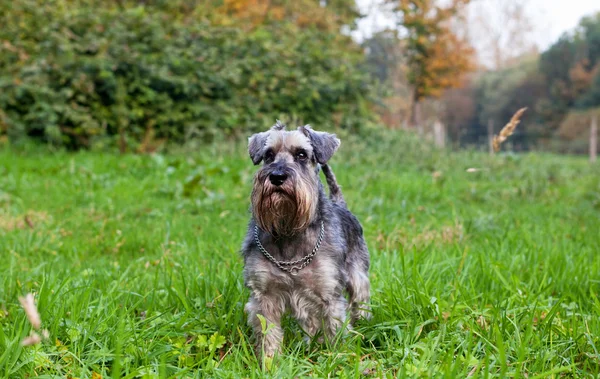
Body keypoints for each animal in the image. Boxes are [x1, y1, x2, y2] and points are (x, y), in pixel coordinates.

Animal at [239, 121, 370, 360]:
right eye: (268, 155)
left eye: (301, 154)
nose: (277, 176)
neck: (289, 231)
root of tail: (340, 203)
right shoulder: (265, 296)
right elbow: (268, 334)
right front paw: (270, 362)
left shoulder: (328, 293)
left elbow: (334, 329)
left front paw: (335, 358)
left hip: (357, 277)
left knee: (360, 302)